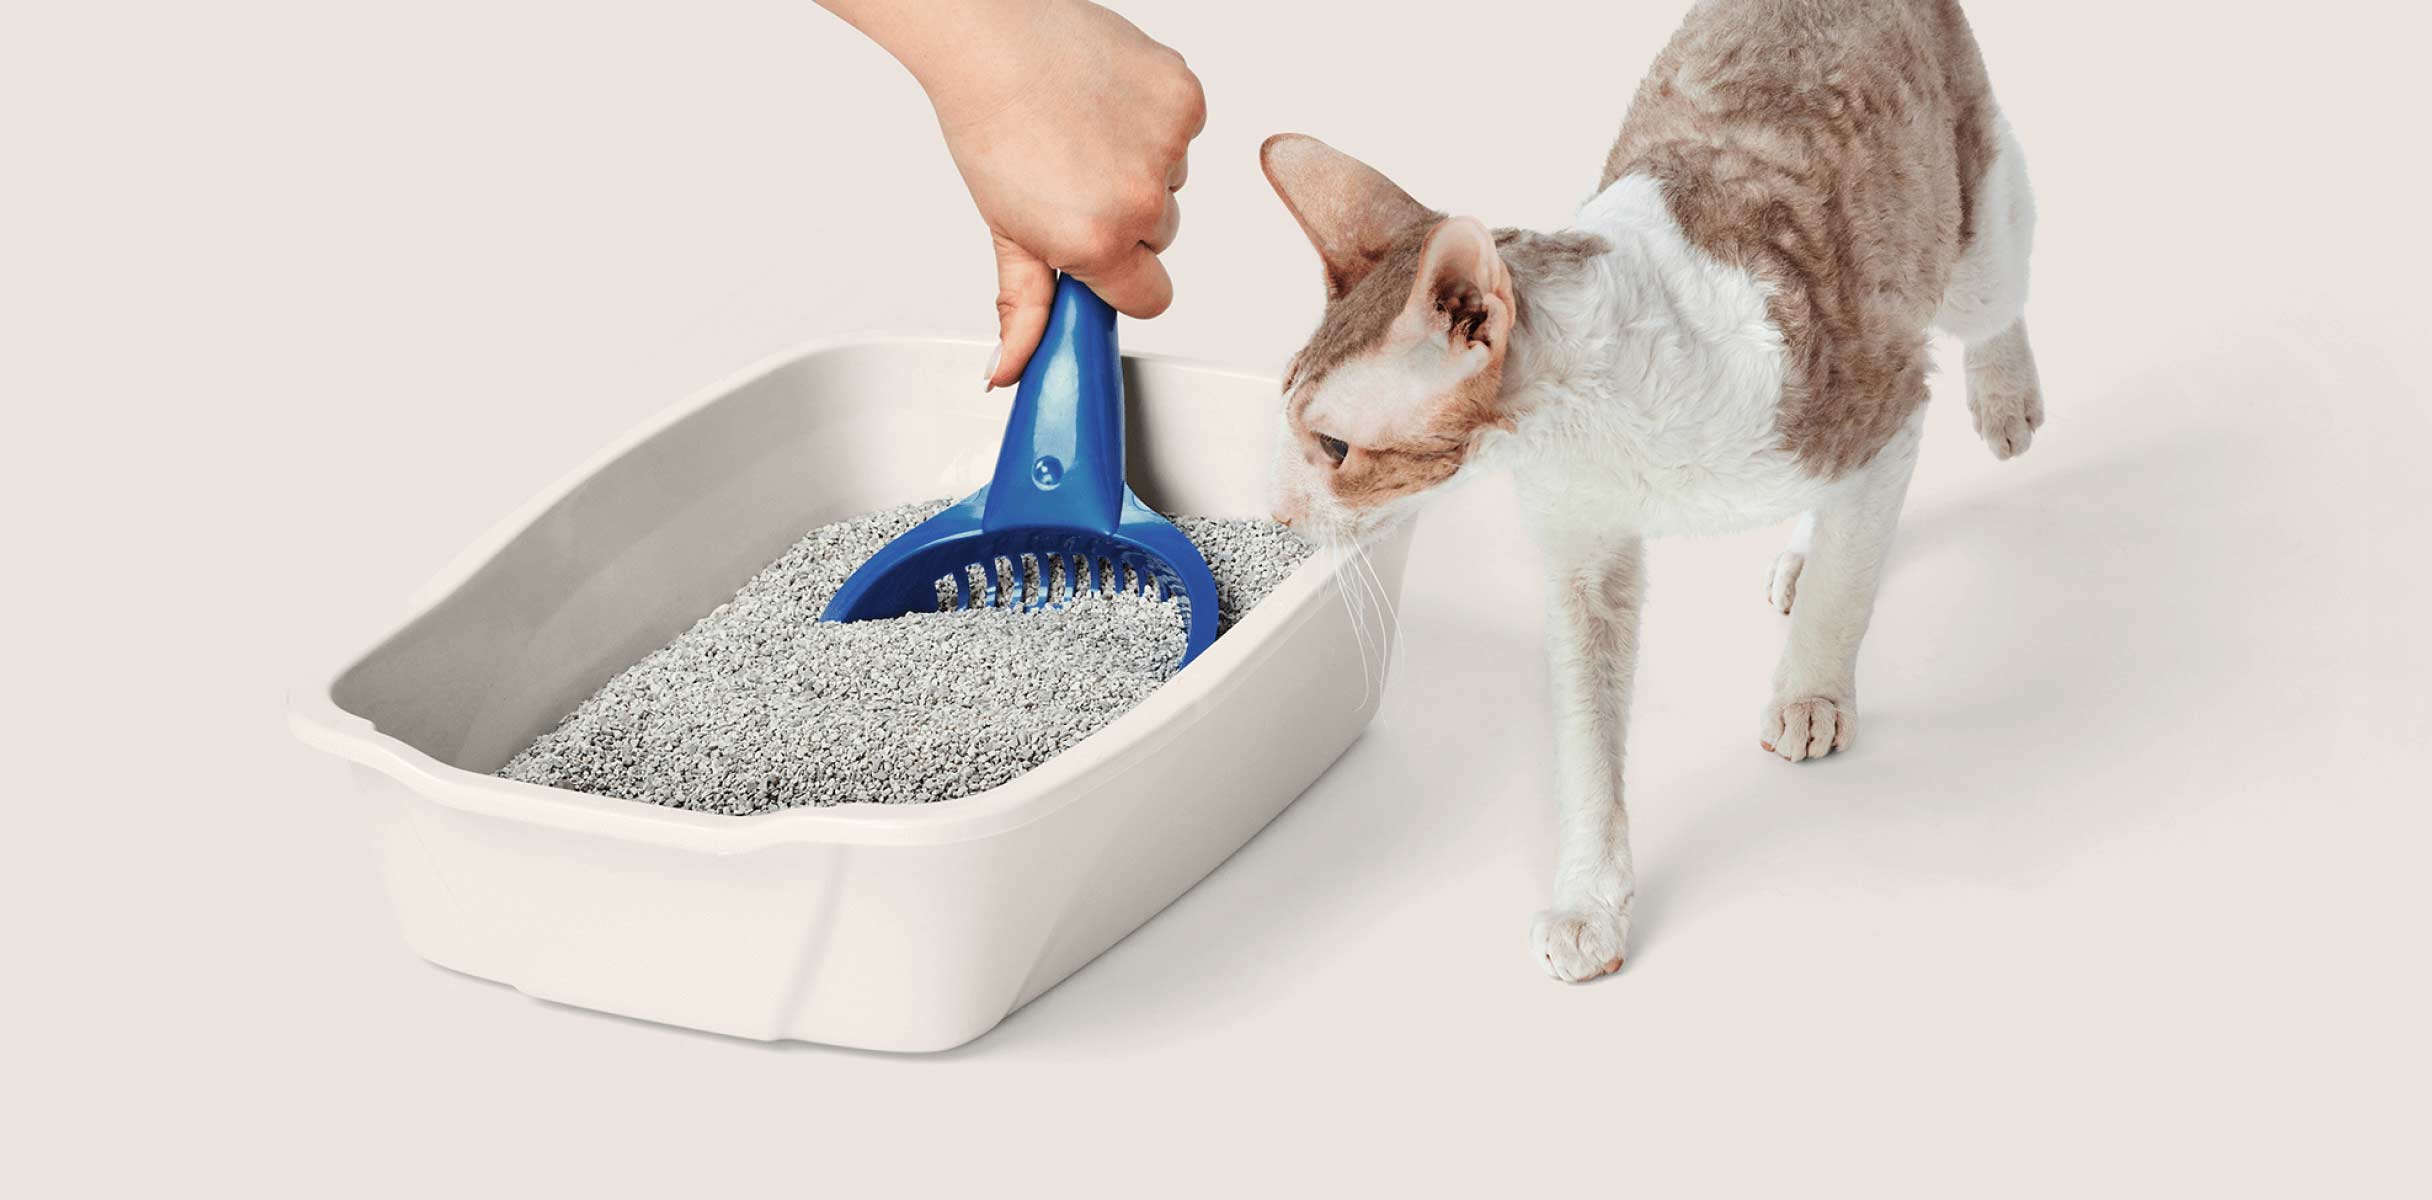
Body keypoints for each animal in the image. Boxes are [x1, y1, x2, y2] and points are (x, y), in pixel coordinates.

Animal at [1254, 0, 2033, 978]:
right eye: (1285, 417)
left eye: (1334, 446)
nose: (1277, 511)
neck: (1588, 427)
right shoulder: (1583, 555)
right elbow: (1589, 738)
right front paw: (1589, 903)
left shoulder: (1883, 403)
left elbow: (1845, 593)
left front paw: (1811, 696)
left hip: (1968, 241)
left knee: (1995, 294)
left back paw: (2005, 397)